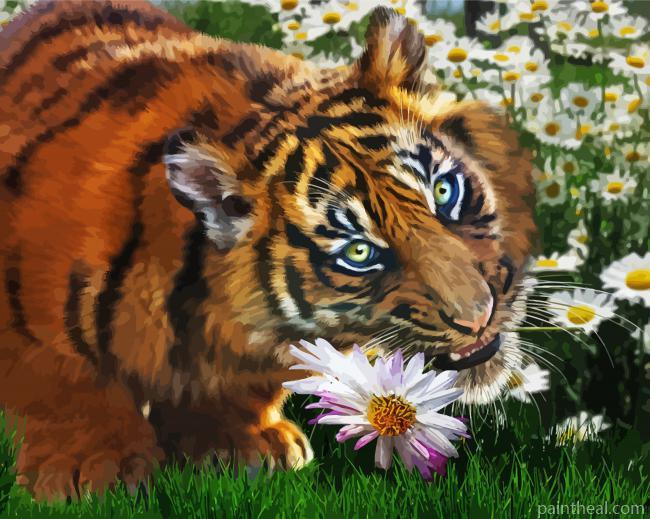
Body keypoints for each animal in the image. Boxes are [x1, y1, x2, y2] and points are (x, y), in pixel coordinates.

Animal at [0, 0, 536, 501]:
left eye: (444, 192)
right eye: (359, 253)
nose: (478, 317)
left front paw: (242, 446)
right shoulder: (34, 321)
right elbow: (68, 382)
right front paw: (91, 472)